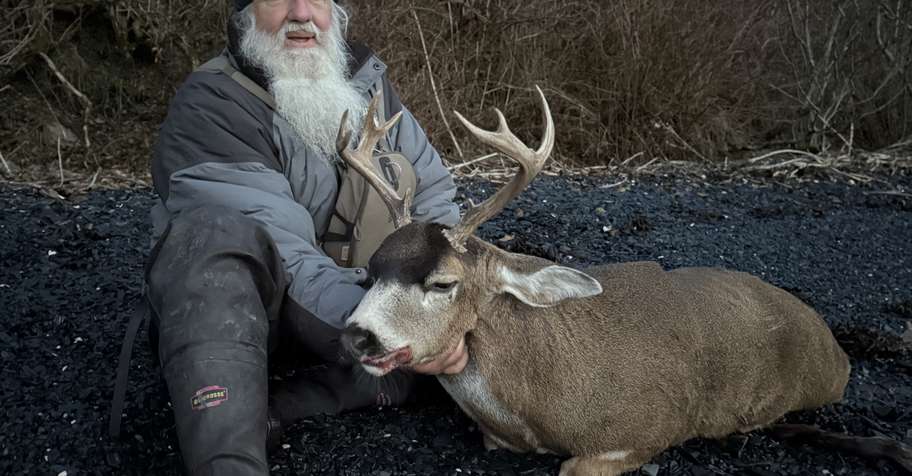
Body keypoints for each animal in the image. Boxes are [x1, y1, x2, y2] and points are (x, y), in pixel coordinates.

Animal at [333, 89, 910, 475]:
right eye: (372, 271)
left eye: (442, 283)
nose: (357, 335)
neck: (532, 405)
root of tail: (834, 342)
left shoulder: (641, 431)